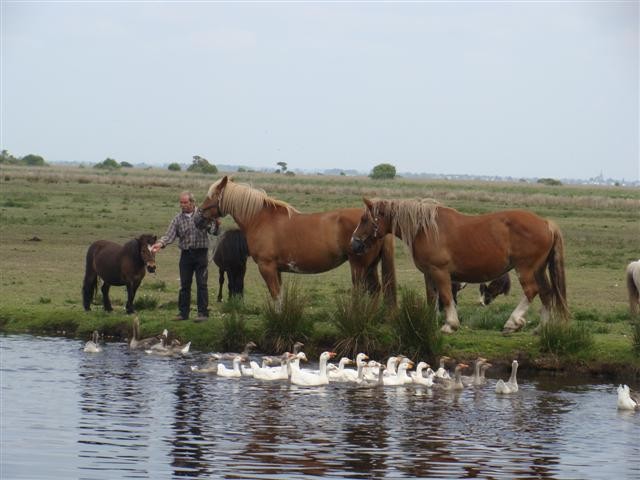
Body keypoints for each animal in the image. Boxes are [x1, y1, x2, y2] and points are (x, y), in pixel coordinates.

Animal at [198, 175, 396, 304]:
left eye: (211, 196)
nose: (199, 217)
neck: (260, 219)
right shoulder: (276, 269)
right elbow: (281, 297)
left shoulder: (266, 267)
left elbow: (276, 298)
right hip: (370, 267)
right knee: (375, 292)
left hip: (359, 267)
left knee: (361, 294)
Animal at [350, 199, 568, 334]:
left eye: (364, 219)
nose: (354, 243)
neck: (425, 229)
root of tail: (546, 223)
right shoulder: (429, 274)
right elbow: (432, 298)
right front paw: (429, 323)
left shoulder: (440, 272)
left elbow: (446, 297)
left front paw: (450, 325)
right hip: (539, 270)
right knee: (547, 293)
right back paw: (541, 329)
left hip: (525, 269)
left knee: (532, 291)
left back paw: (512, 323)